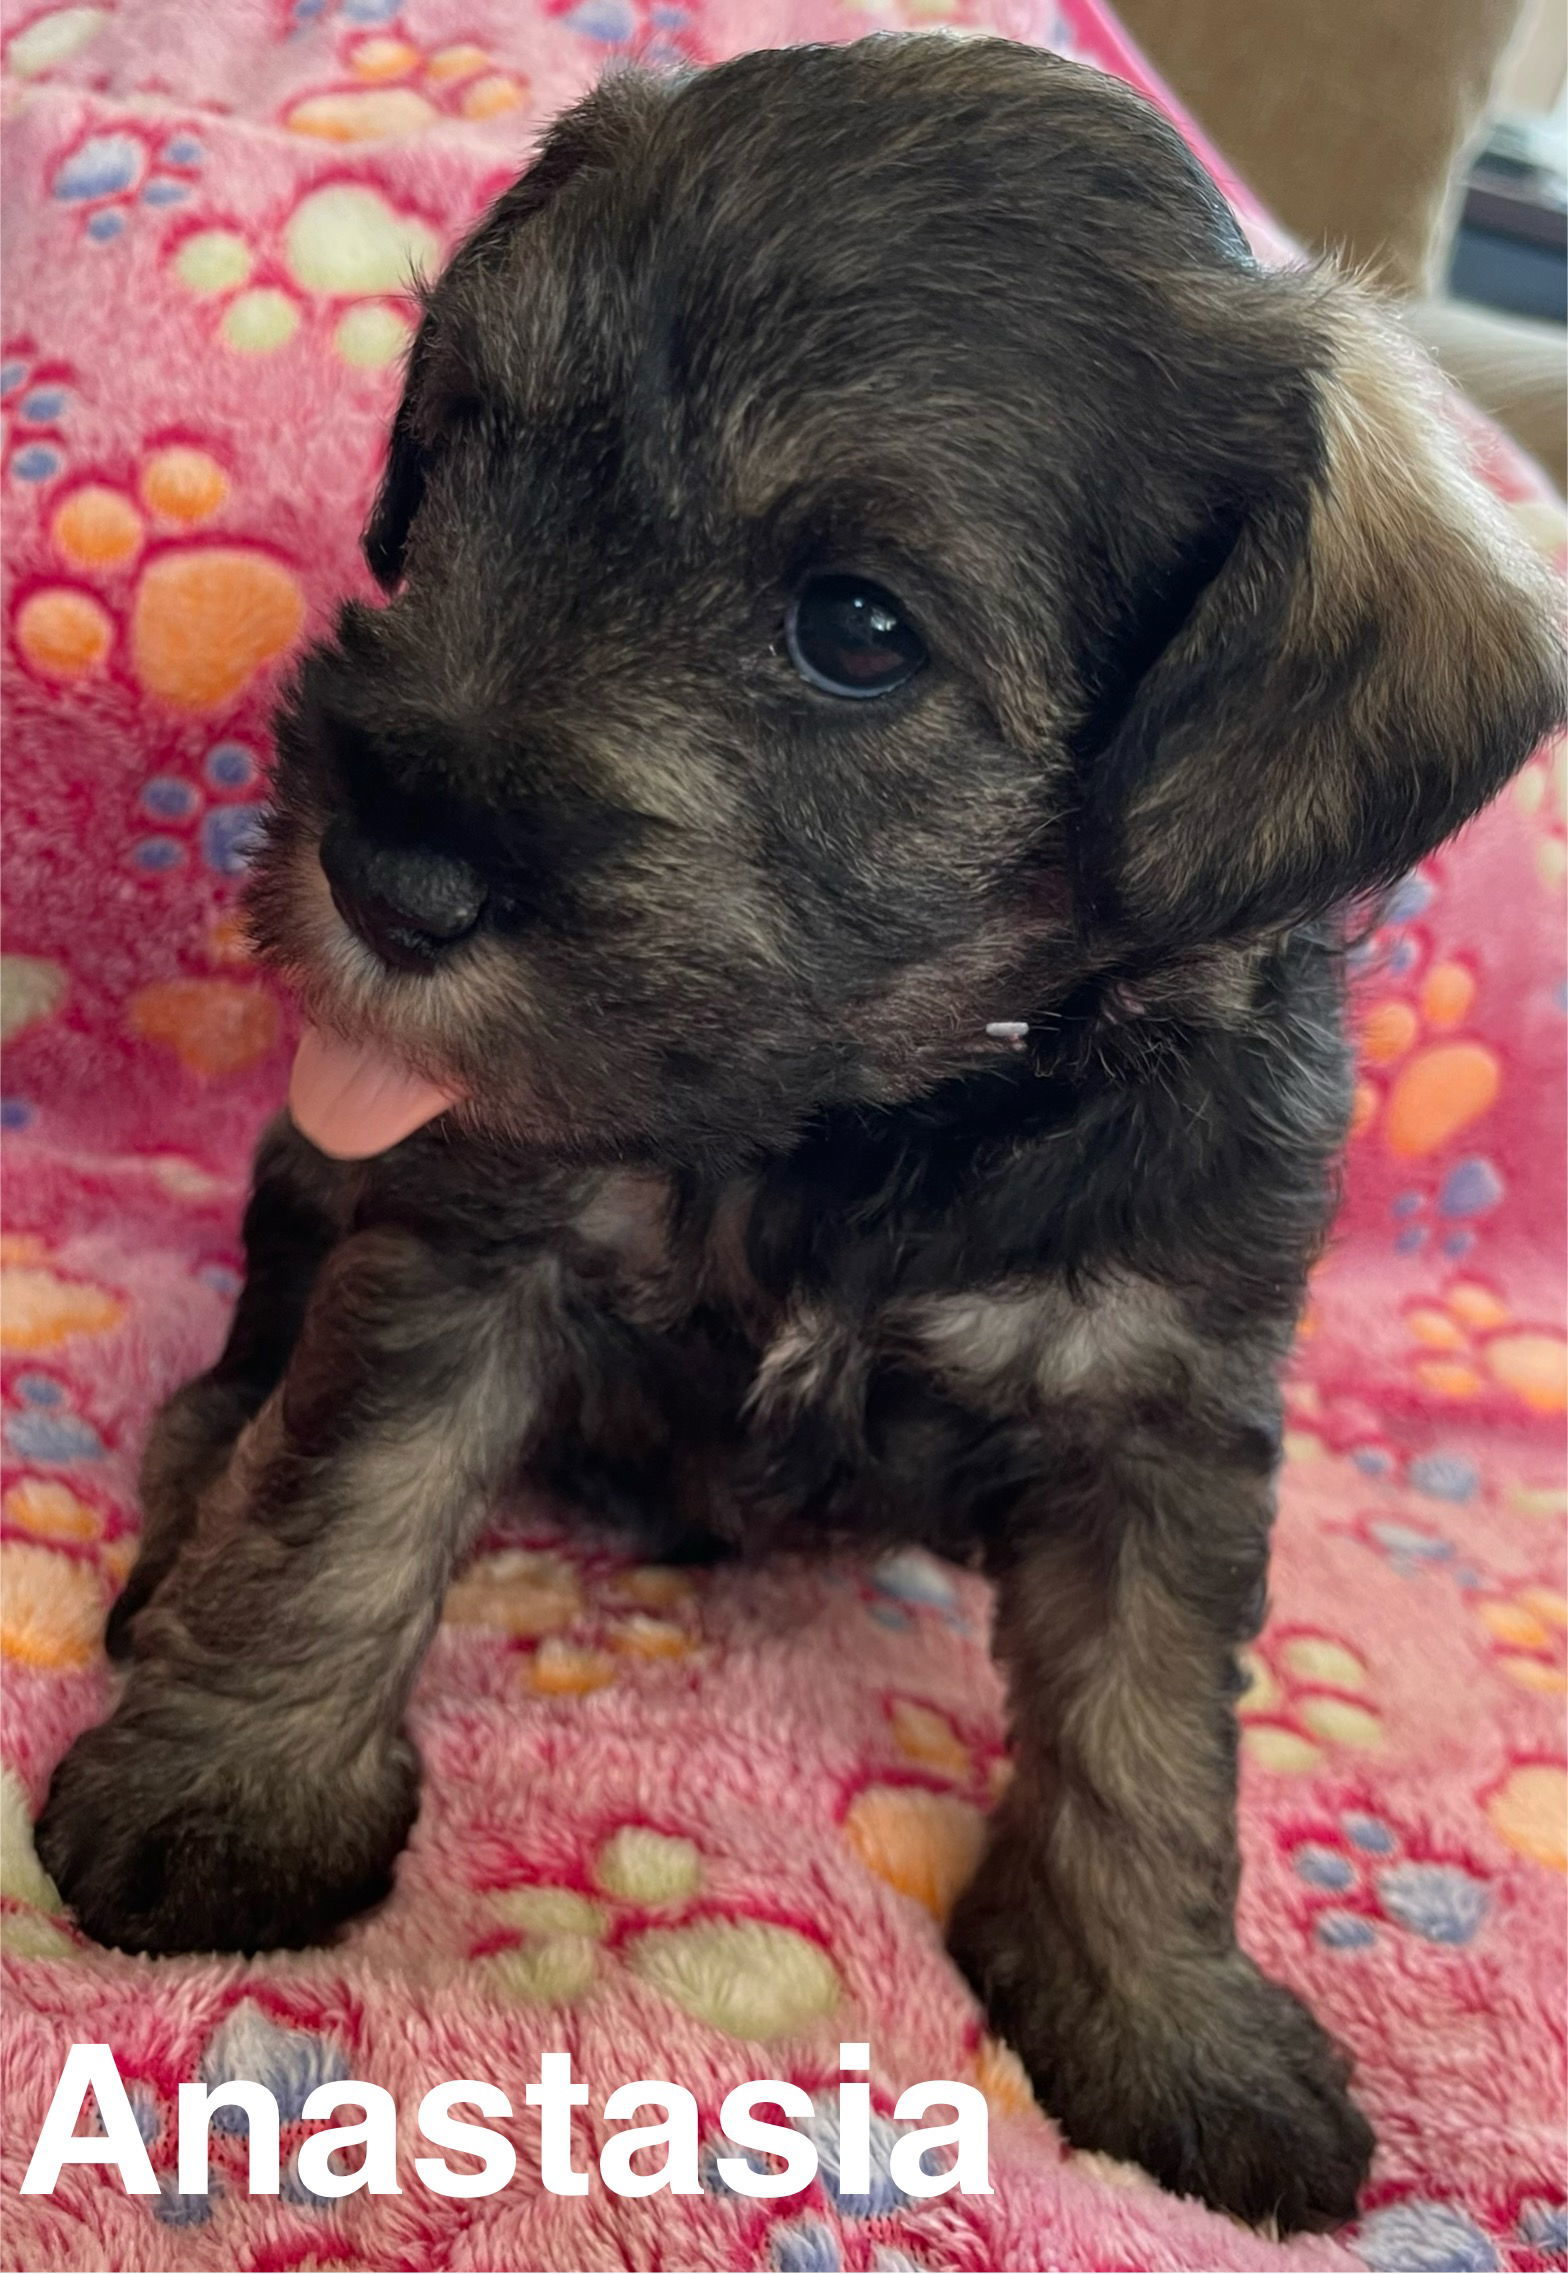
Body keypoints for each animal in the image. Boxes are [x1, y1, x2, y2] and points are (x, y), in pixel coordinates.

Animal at [39, 31, 1563, 2237]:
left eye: (856, 626)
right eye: (472, 449)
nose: (386, 872)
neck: (876, 1108)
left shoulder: (1163, 1408)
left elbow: (1147, 1732)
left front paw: (1165, 2025)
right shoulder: (472, 1222)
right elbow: (347, 1497)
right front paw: (230, 1791)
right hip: (317, 1172)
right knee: (236, 1392)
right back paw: (183, 1543)